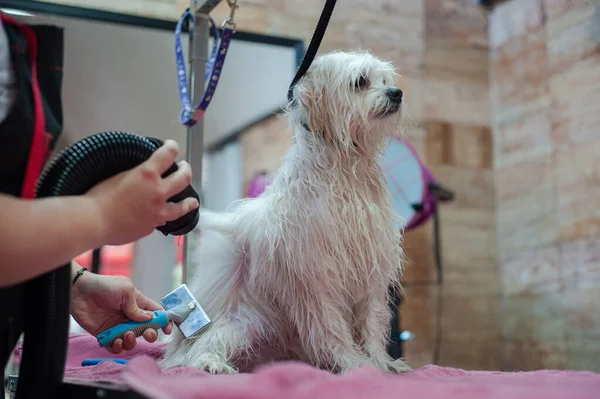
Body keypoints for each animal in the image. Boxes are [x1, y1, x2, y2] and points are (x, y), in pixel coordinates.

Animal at [159, 50, 410, 376]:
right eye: (360, 81)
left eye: (385, 80)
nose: (397, 93)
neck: (344, 171)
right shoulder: (315, 279)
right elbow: (331, 327)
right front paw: (353, 363)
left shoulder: (370, 272)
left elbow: (371, 323)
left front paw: (381, 362)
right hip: (242, 321)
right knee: (198, 348)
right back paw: (210, 362)